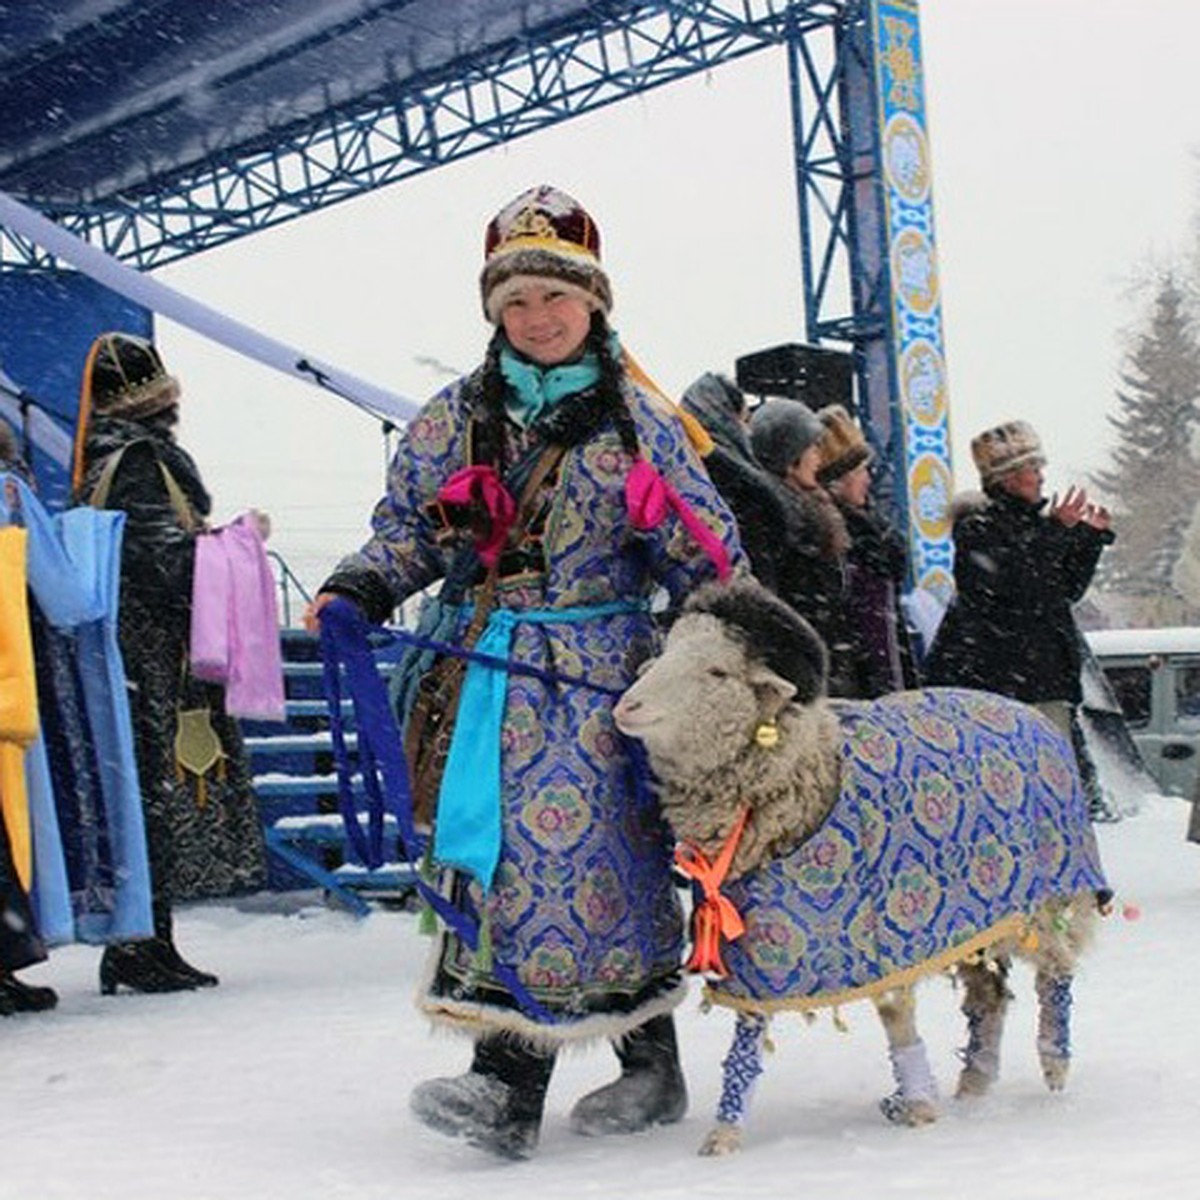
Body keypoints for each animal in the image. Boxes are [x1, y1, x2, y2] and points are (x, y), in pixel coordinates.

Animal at [614, 576, 1108, 1156]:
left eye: (717, 671)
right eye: (667, 650)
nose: (626, 705)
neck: (811, 772)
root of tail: (1026, 711)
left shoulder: (888, 933)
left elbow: (897, 1016)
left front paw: (918, 1106)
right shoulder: (761, 941)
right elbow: (749, 1032)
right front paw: (725, 1131)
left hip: (1046, 897)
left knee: (1056, 970)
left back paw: (1054, 1060)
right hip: (976, 921)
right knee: (990, 995)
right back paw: (975, 1081)